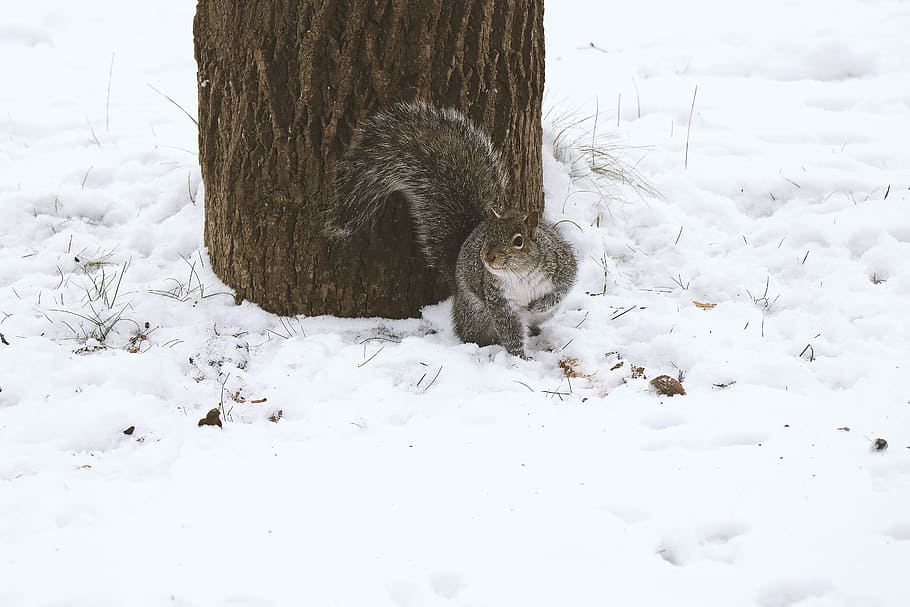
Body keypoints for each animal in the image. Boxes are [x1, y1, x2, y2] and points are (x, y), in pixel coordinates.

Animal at [326, 101, 578, 359]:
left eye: (519, 241)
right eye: (487, 236)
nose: (488, 258)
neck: (520, 274)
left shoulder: (561, 265)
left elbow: (562, 288)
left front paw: (537, 305)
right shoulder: (499, 300)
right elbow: (510, 330)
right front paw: (520, 357)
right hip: (476, 313)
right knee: (472, 333)